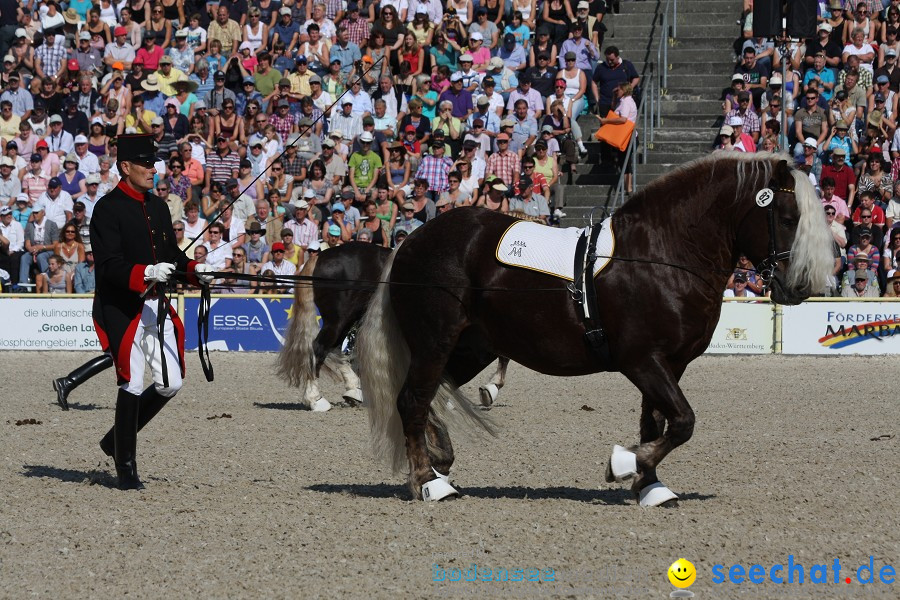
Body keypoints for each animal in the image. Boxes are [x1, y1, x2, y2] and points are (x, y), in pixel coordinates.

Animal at [356, 155, 832, 506]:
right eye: (787, 217)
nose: (798, 288)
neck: (661, 254)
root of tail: (411, 241)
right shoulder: (642, 360)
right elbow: (682, 422)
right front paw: (622, 464)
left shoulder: (669, 364)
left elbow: (657, 423)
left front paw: (650, 485)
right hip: (435, 341)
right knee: (413, 399)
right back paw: (428, 481)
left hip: (474, 346)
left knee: (435, 392)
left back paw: (441, 458)